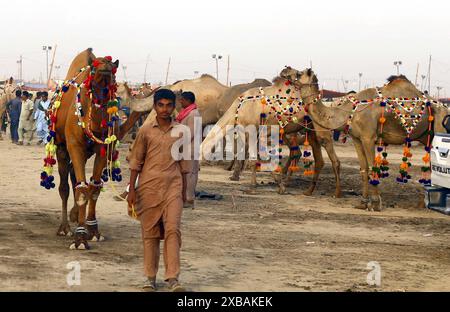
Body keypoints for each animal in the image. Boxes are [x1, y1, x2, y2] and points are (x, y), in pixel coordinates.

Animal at [41, 48, 145, 249]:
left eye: (112, 83)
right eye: (93, 81)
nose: (102, 106)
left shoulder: (103, 148)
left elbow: (94, 188)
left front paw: (93, 230)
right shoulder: (74, 145)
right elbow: (81, 188)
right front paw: (80, 237)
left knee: (74, 177)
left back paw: (74, 216)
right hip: (61, 146)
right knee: (65, 186)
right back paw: (64, 228)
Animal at [200, 72, 342, 197]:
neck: (238, 108)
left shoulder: (252, 130)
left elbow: (255, 159)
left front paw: (256, 187)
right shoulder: (256, 133)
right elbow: (260, 158)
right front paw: (276, 186)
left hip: (320, 124)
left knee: (328, 150)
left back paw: (336, 193)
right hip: (310, 128)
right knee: (318, 158)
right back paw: (308, 191)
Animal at [280, 67, 448, 211]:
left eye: (299, 73)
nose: (284, 70)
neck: (349, 111)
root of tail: (445, 108)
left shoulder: (368, 137)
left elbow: (373, 167)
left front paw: (375, 203)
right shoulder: (357, 138)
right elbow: (363, 169)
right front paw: (362, 202)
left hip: (439, 126)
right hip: (426, 136)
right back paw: (422, 204)